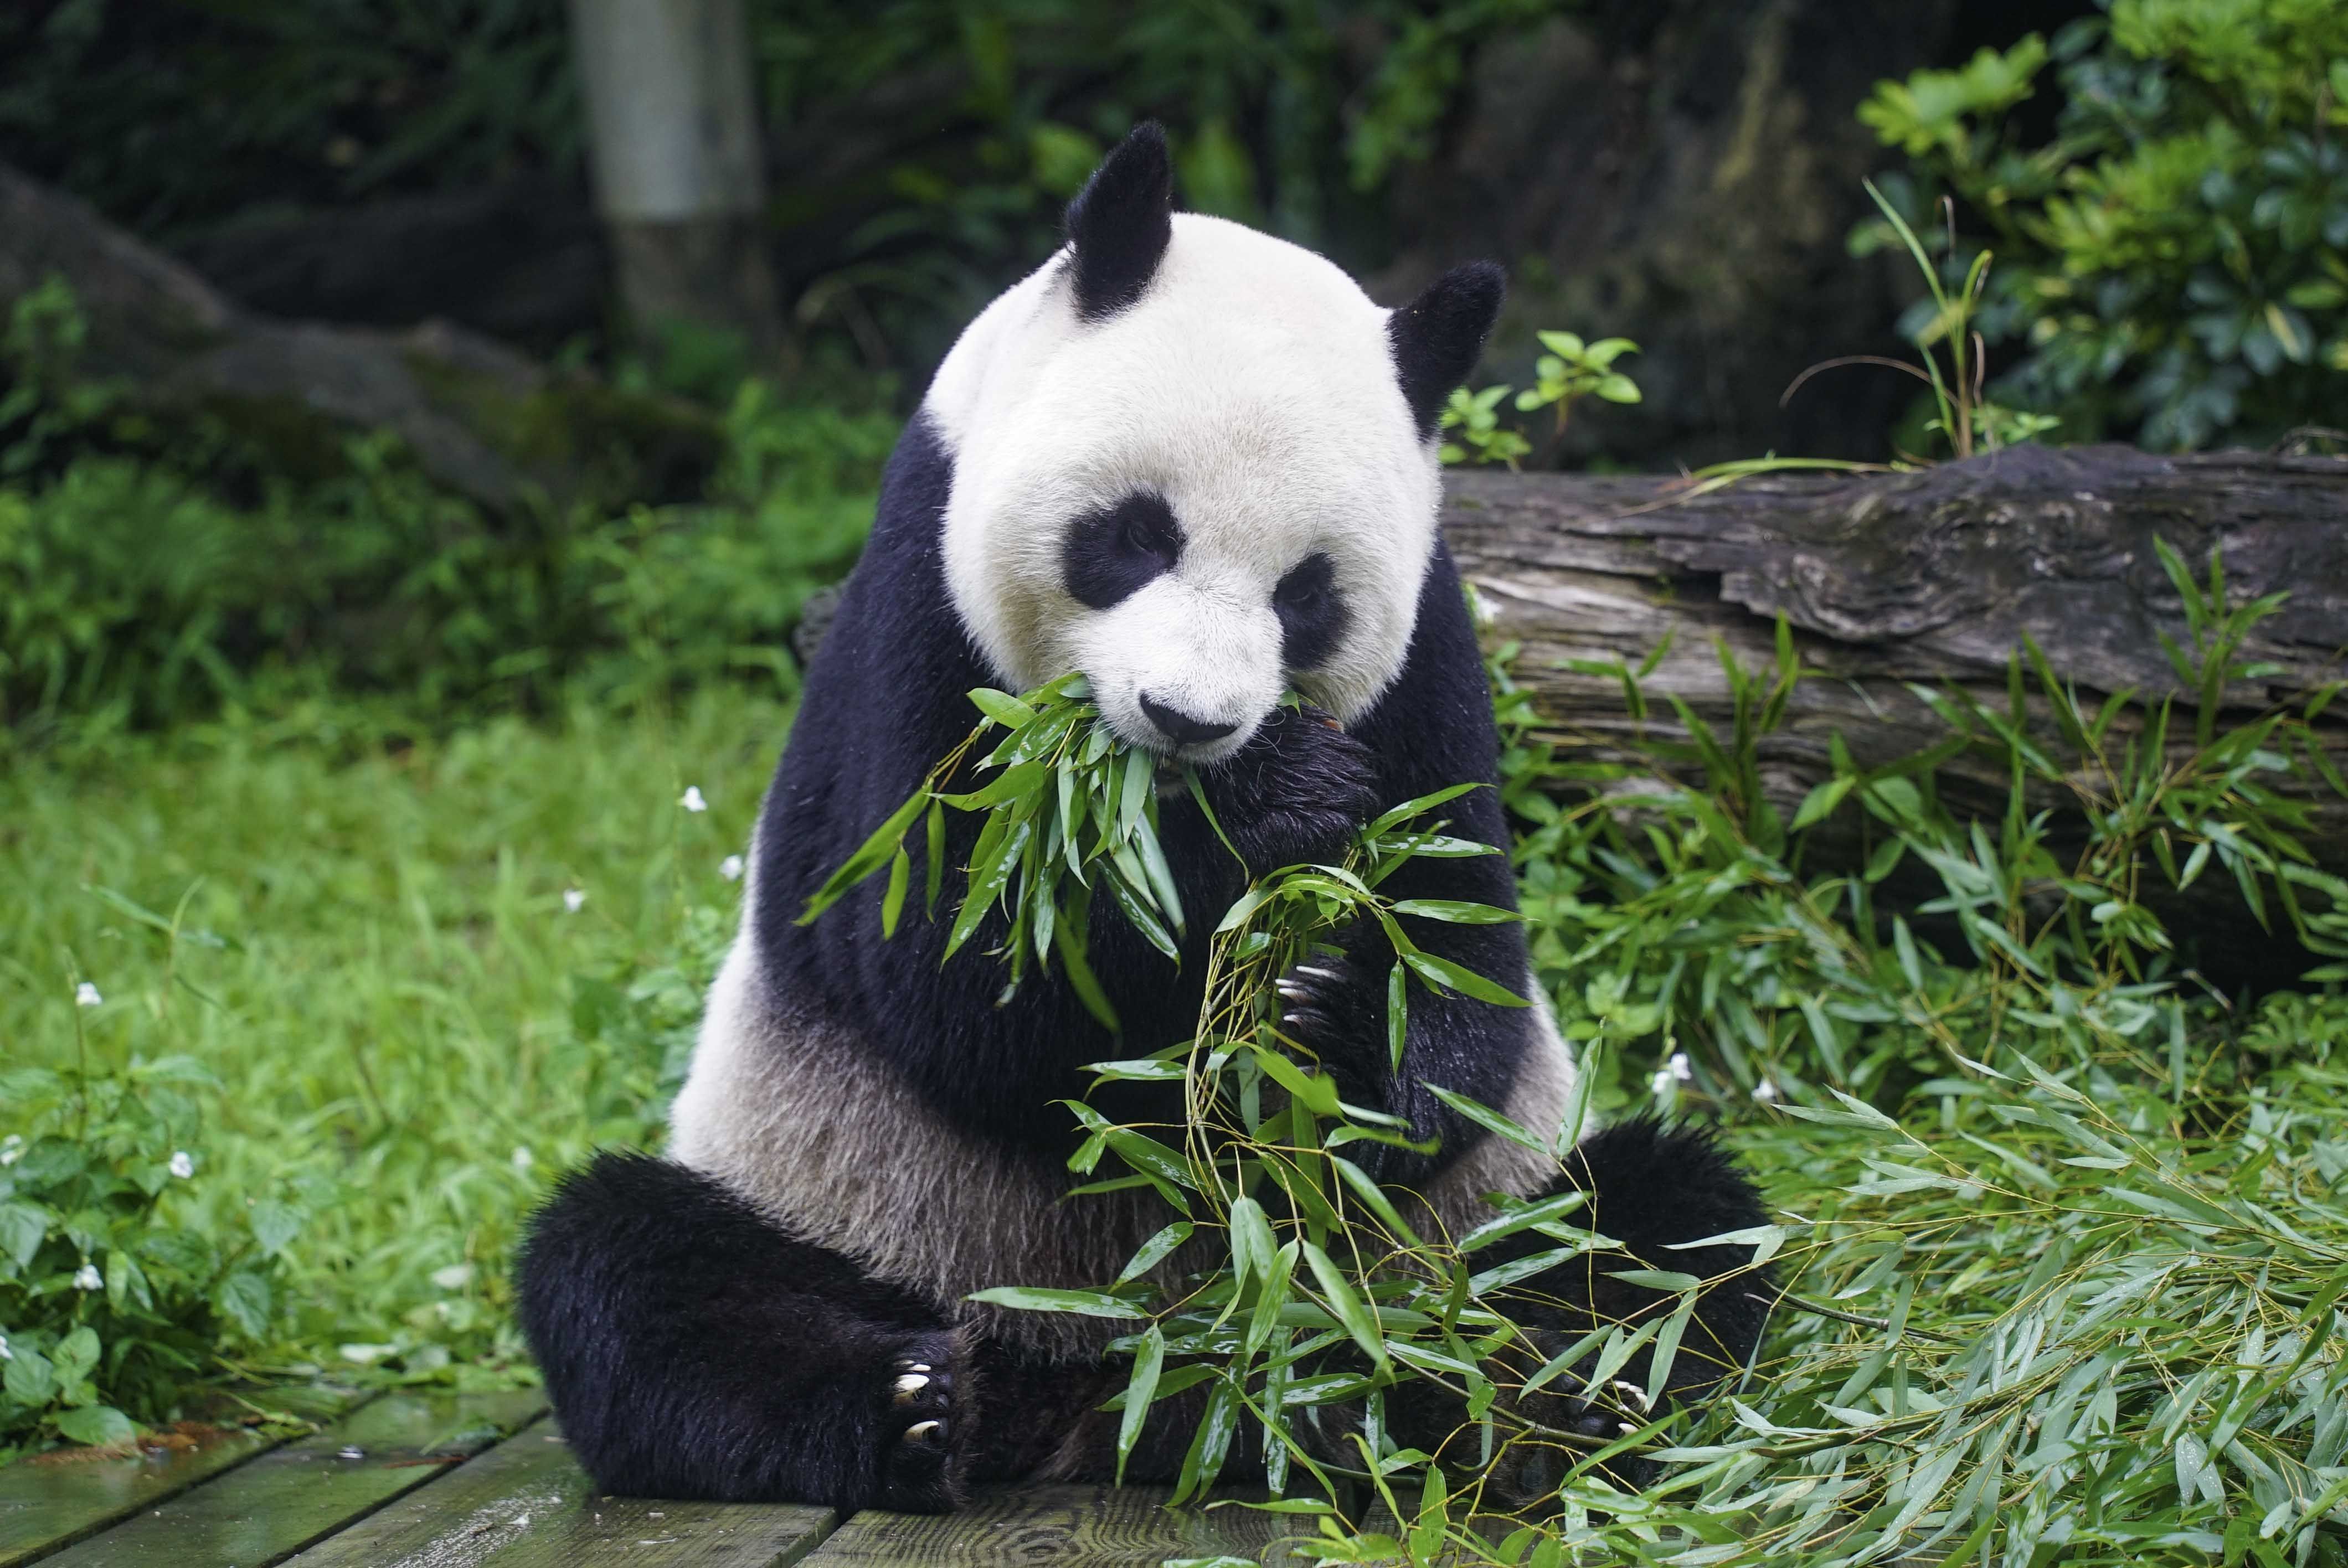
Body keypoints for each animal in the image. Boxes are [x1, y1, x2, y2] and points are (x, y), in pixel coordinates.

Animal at [514, 125, 1765, 1521]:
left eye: (1308, 596)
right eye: (1130, 535)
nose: (1186, 719)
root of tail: (1135, 1391)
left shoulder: (1433, 660)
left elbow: (1466, 963)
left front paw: (1325, 1019)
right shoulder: (913, 609)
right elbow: (953, 976)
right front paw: (1265, 818)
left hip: (1450, 1236)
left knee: (1663, 1231)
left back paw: (1506, 1390)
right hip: (859, 1200)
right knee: (633, 1270)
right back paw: (910, 1406)